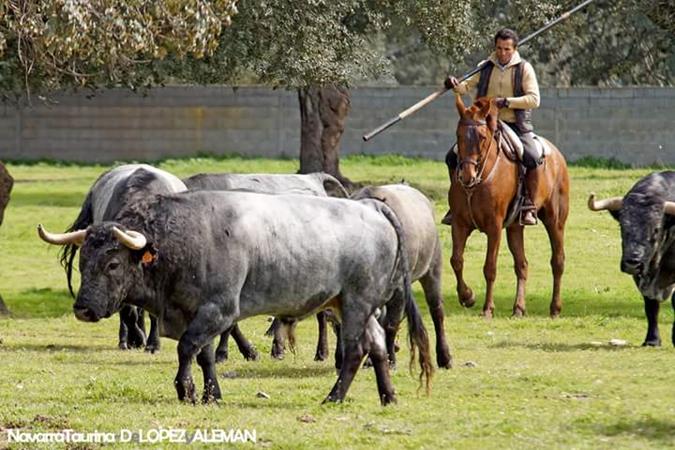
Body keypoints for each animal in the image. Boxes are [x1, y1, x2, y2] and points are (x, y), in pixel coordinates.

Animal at [38, 190, 434, 404]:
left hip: (355, 304)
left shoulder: (218, 310)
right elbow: (204, 355)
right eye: (83, 261)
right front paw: (211, 393)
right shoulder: (197, 314)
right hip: (353, 306)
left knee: (354, 351)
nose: (83, 309)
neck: (184, 240)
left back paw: (334, 396)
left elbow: (187, 348)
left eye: (113, 263)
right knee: (378, 346)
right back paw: (387, 395)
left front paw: (185, 390)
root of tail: (370, 206)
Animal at [448, 96, 572, 318]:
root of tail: (557, 155)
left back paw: (555, 308)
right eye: (458, 134)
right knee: (522, 265)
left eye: (482, 136)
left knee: (557, 261)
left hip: (555, 221)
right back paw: (519, 308)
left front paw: (488, 308)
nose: (467, 176)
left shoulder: (494, 227)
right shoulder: (459, 224)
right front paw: (467, 296)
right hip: (515, 227)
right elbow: (456, 260)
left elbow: (490, 267)